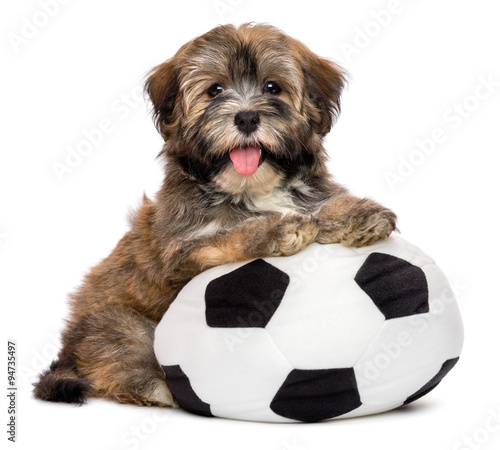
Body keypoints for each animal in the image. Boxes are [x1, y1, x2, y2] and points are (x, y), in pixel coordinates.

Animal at [33, 22, 396, 406]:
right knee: (120, 361)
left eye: (272, 87)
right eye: (215, 90)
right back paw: (159, 389)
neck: (251, 189)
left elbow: (321, 206)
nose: (247, 116)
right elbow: (225, 237)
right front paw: (273, 230)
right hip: (122, 326)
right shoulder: (180, 255)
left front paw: (356, 212)